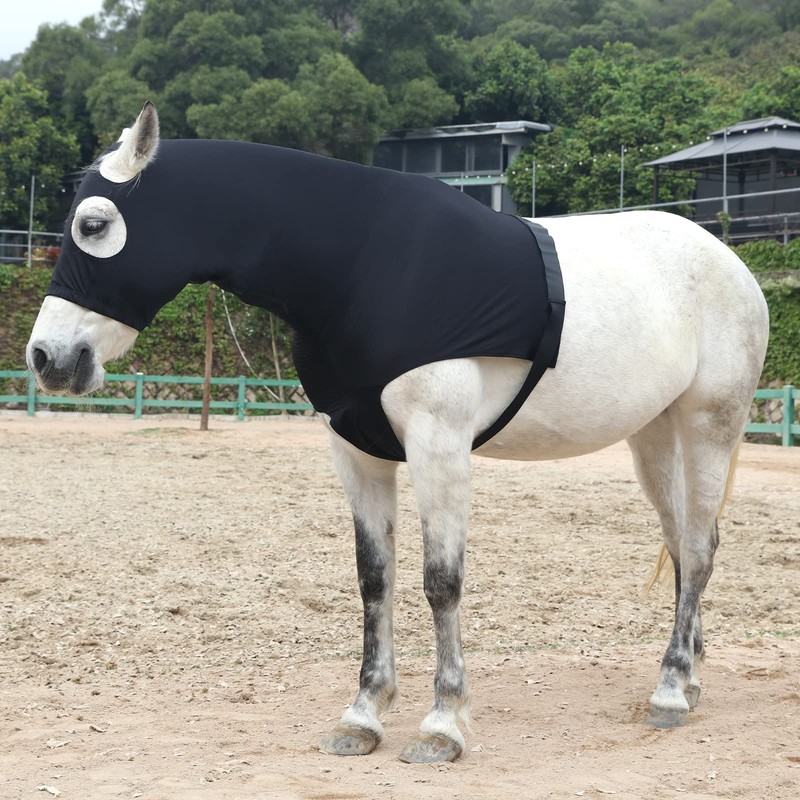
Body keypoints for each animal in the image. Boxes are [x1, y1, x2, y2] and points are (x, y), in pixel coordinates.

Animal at [26, 103, 769, 764]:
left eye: (94, 224)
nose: (47, 358)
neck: (361, 267)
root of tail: (731, 264)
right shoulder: (356, 450)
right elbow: (374, 578)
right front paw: (363, 714)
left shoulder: (438, 446)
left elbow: (441, 581)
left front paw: (443, 724)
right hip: (654, 437)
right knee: (682, 545)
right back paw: (688, 677)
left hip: (710, 425)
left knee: (698, 547)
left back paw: (669, 691)